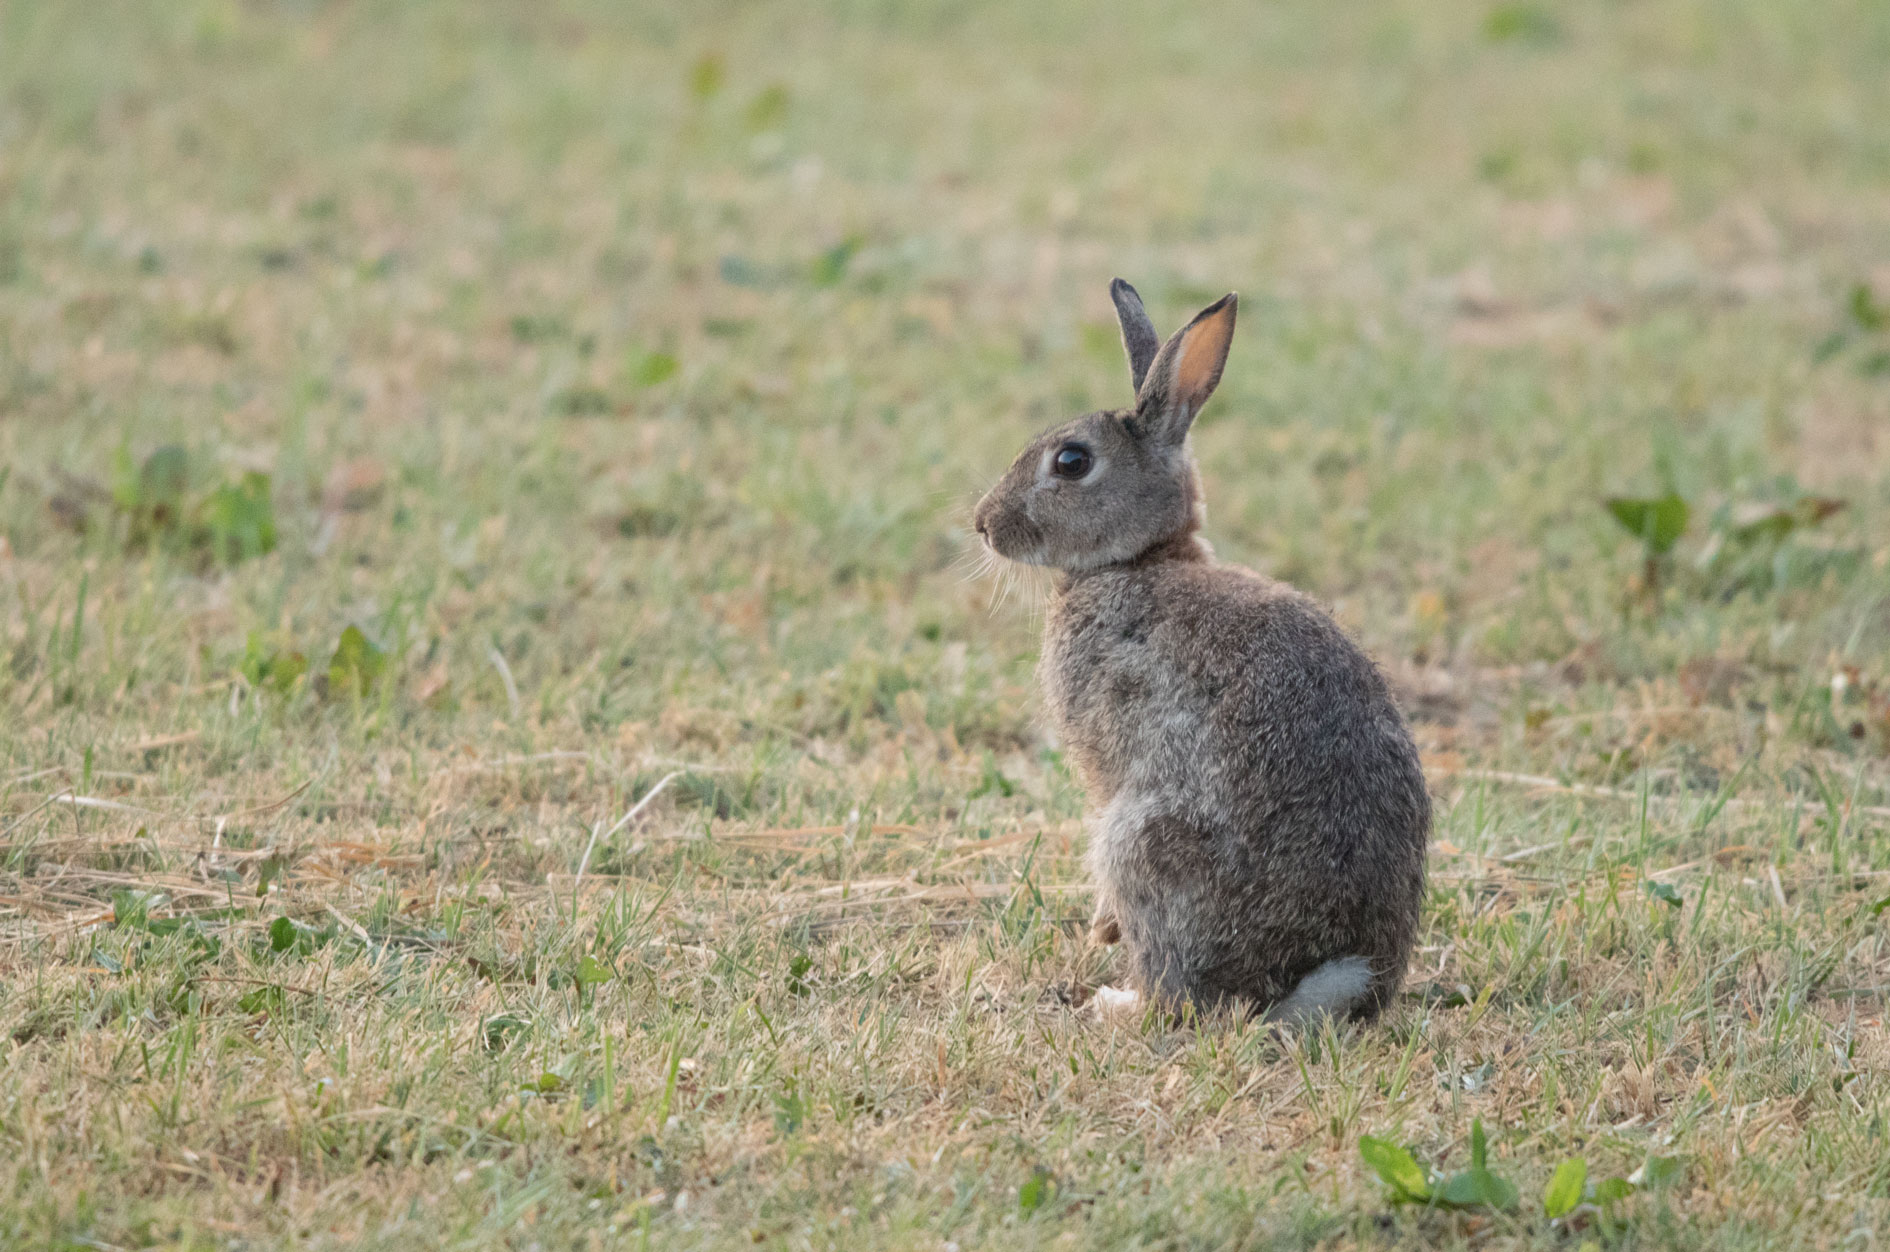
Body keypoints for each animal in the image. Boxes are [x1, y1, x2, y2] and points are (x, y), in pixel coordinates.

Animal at [971, 280, 1430, 1025]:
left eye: (1071, 461)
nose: (983, 525)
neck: (1141, 558)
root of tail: (1326, 976)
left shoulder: (1107, 762)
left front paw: (1102, 929)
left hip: (1142, 840)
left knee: (1176, 995)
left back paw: (1116, 1001)